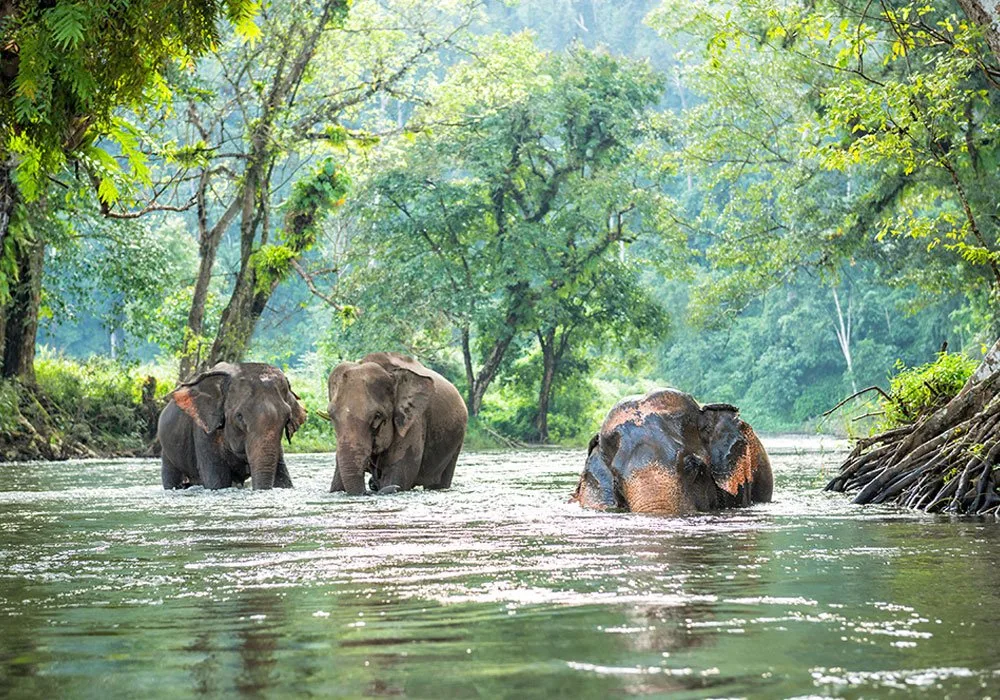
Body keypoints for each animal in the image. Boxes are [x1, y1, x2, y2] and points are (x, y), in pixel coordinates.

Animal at [157, 362, 307, 490]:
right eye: (239, 416)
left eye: (287, 418)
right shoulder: (204, 432)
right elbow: (218, 481)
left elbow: (283, 479)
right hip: (168, 450)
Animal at [326, 352, 467, 495]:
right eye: (330, 415)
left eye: (377, 416)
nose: (372, 485)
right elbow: (337, 483)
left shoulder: (413, 420)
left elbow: (399, 473)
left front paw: (393, 485)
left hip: (456, 443)